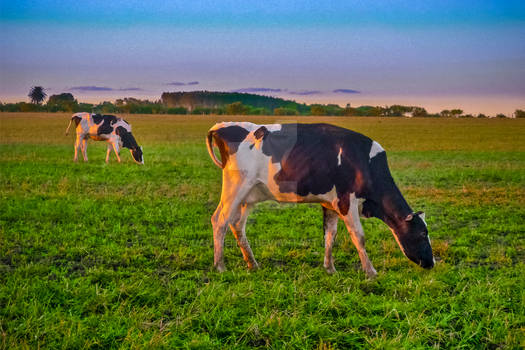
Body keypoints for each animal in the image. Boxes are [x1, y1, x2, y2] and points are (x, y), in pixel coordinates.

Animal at [207, 121, 432, 278]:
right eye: (422, 233)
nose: (432, 263)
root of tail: (221, 126)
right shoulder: (346, 200)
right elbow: (358, 236)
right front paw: (370, 272)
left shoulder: (330, 203)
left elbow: (330, 235)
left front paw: (330, 268)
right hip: (236, 187)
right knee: (220, 220)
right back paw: (220, 266)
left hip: (250, 196)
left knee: (237, 224)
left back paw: (252, 263)